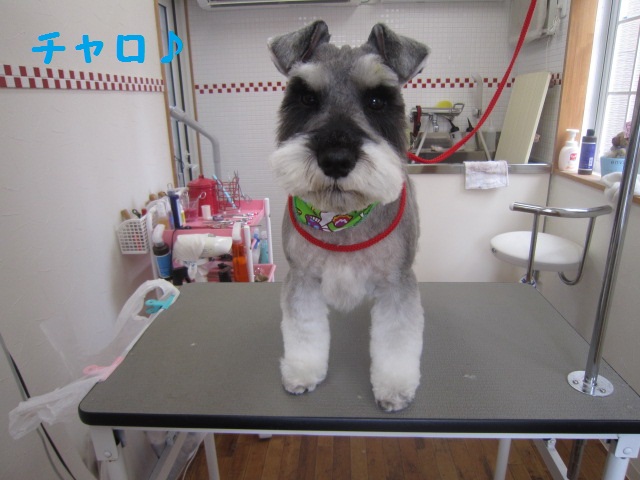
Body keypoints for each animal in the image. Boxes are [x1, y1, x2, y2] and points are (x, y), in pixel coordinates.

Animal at [267, 21, 429, 412]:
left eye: (376, 101)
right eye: (307, 98)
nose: (336, 159)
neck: (341, 217)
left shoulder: (397, 283)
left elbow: (397, 339)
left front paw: (394, 387)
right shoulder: (302, 278)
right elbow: (304, 330)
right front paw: (303, 371)